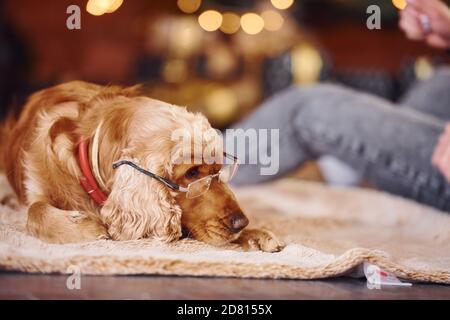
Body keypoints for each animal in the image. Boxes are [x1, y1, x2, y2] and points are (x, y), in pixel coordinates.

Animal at [1, 82, 284, 252]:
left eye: (219, 171)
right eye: (192, 173)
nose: (241, 222)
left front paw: (259, 234)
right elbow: (35, 211)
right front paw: (86, 228)